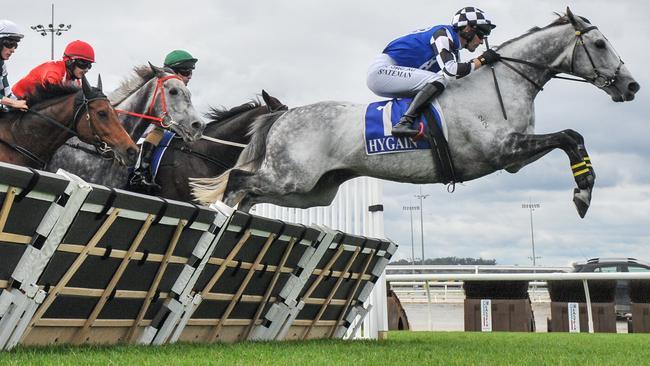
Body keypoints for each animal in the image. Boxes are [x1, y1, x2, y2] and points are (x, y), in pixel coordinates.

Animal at [191, 9, 636, 217]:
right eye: (599, 44)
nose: (631, 86)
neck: (503, 82)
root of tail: (284, 115)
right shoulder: (502, 150)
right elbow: (569, 135)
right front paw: (583, 193)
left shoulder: (512, 159)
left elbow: (571, 137)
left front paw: (583, 190)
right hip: (289, 177)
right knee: (238, 181)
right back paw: (219, 218)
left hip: (310, 192)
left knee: (249, 194)